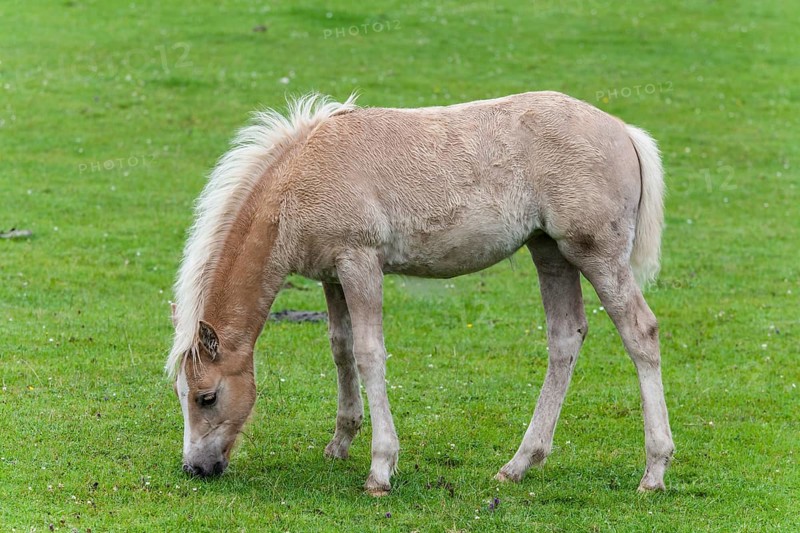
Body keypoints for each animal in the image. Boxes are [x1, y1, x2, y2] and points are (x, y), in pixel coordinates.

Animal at [167, 91, 674, 496]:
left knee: (641, 333)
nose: (196, 468)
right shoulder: (332, 275)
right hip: (549, 251)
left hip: (595, 252)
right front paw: (341, 442)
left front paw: (380, 470)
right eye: (182, 393)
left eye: (207, 397)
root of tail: (624, 131)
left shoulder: (360, 263)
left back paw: (653, 472)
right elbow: (341, 348)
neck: (302, 178)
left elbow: (369, 353)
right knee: (565, 338)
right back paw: (518, 465)